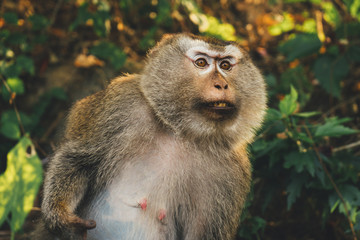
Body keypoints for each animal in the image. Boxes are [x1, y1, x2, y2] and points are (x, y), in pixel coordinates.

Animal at [32, 33, 266, 240]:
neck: (181, 132)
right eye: (201, 62)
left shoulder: (232, 171)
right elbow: (78, 158)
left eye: (226, 66)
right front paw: (61, 217)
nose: (222, 84)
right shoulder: (121, 105)